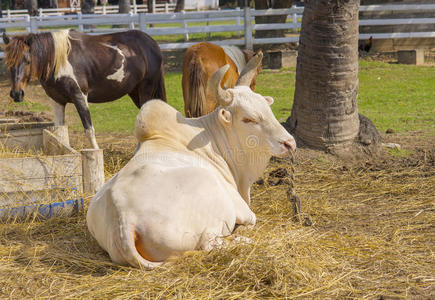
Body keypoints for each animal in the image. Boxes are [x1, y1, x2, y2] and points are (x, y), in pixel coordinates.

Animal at [2, 29, 167, 149]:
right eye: (8, 63)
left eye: (28, 61)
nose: (16, 94)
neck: (59, 61)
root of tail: (151, 43)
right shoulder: (57, 101)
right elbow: (60, 132)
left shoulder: (79, 96)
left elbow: (89, 130)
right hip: (134, 92)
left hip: (146, 90)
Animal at [87, 54, 298, 270]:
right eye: (248, 119)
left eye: (268, 109)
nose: (289, 143)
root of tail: (124, 219)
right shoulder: (242, 208)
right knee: (210, 242)